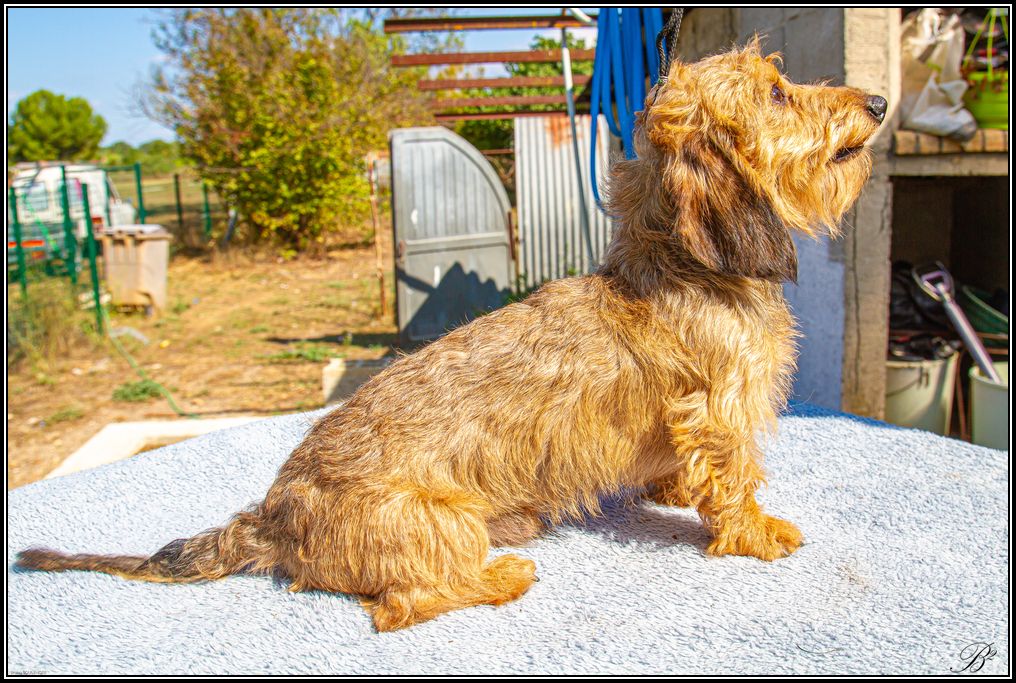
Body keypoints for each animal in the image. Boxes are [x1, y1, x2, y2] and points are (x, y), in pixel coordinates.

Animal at [17, 40, 886, 632]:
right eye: (778, 92)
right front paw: (756, 530)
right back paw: (505, 574)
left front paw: (673, 490)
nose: (879, 103)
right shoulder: (720, 409)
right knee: (401, 603)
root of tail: (273, 512)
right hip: (444, 519)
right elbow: (732, 475)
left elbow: (686, 468)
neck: (678, 260)